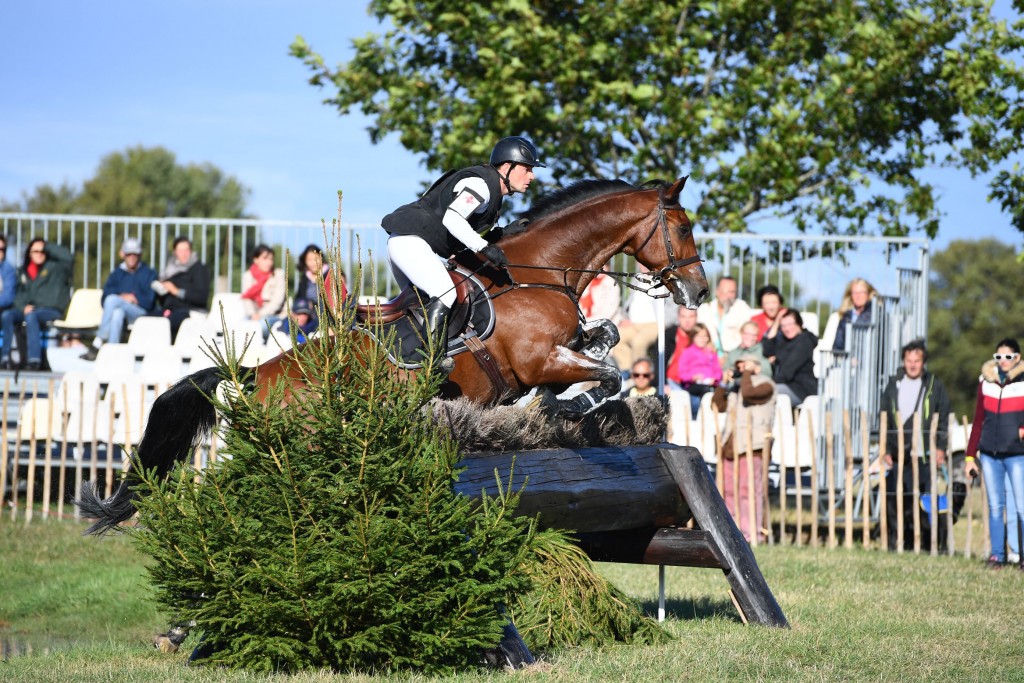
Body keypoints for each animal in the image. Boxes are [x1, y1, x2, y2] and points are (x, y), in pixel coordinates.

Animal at [75, 178, 708, 532]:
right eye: (682, 228)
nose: (698, 292)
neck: (538, 270)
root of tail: (254, 375)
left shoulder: (557, 352)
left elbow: (605, 342)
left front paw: (560, 404)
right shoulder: (538, 359)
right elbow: (609, 375)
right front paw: (569, 408)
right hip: (301, 447)